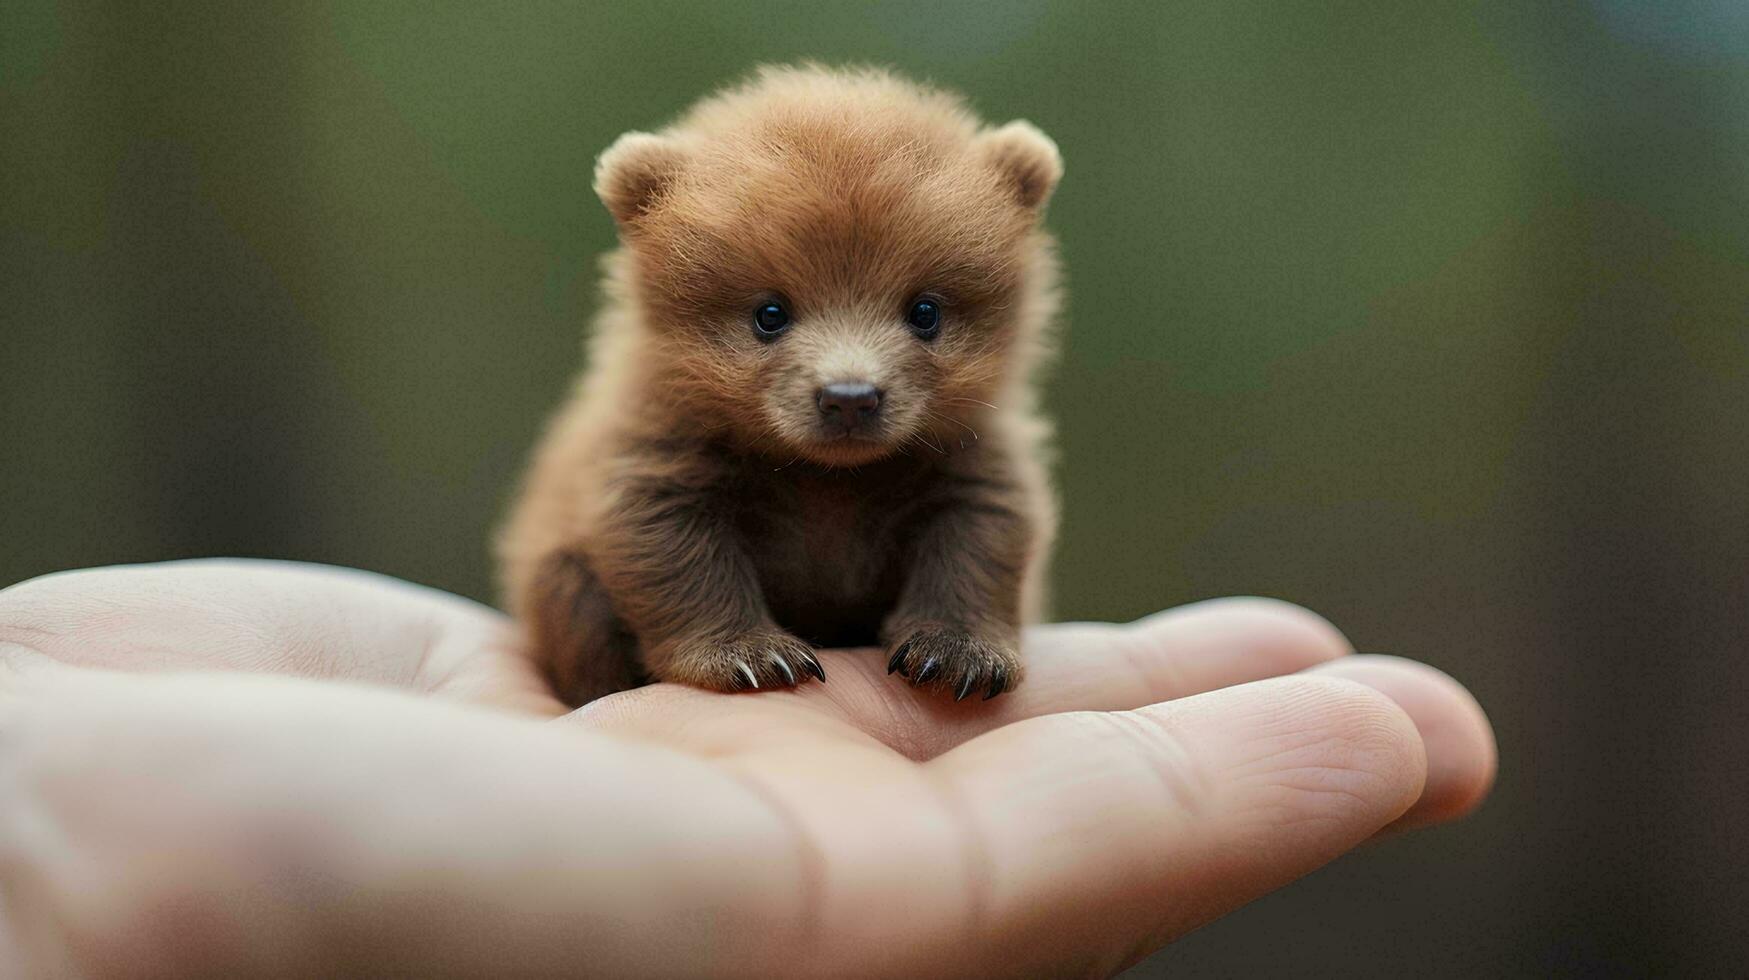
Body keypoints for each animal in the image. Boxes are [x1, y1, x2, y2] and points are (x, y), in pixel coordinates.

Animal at [500, 63, 1056, 703]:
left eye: (925, 311)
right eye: (770, 313)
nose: (849, 398)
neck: (826, 482)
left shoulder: (969, 454)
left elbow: (981, 539)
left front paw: (959, 652)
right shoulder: (658, 451)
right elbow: (674, 553)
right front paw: (747, 654)